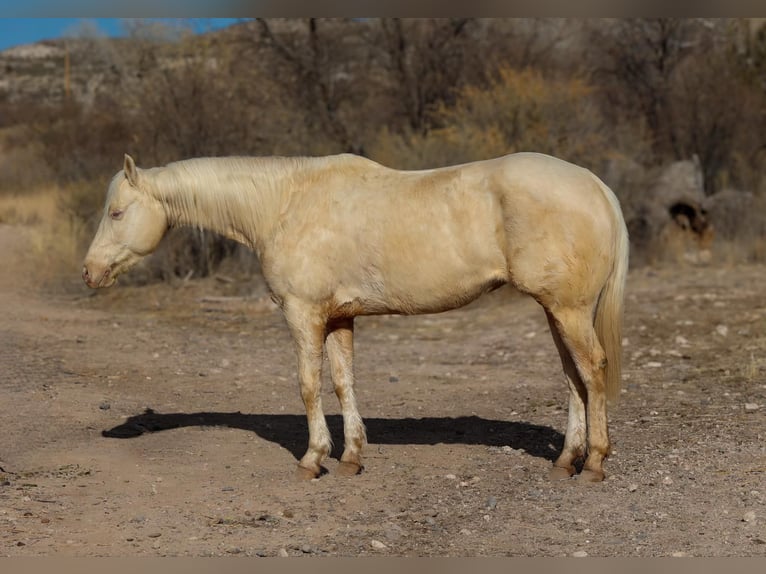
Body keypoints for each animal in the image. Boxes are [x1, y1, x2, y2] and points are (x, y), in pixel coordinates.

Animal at [82, 152, 629, 482]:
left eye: (116, 212)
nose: (89, 272)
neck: (285, 204)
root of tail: (596, 185)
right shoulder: (339, 318)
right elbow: (344, 382)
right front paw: (350, 457)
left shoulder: (303, 314)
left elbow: (309, 384)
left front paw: (313, 459)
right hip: (558, 311)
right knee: (573, 378)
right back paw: (566, 460)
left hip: (568, 310)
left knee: (592, 371)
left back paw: (595, 463)